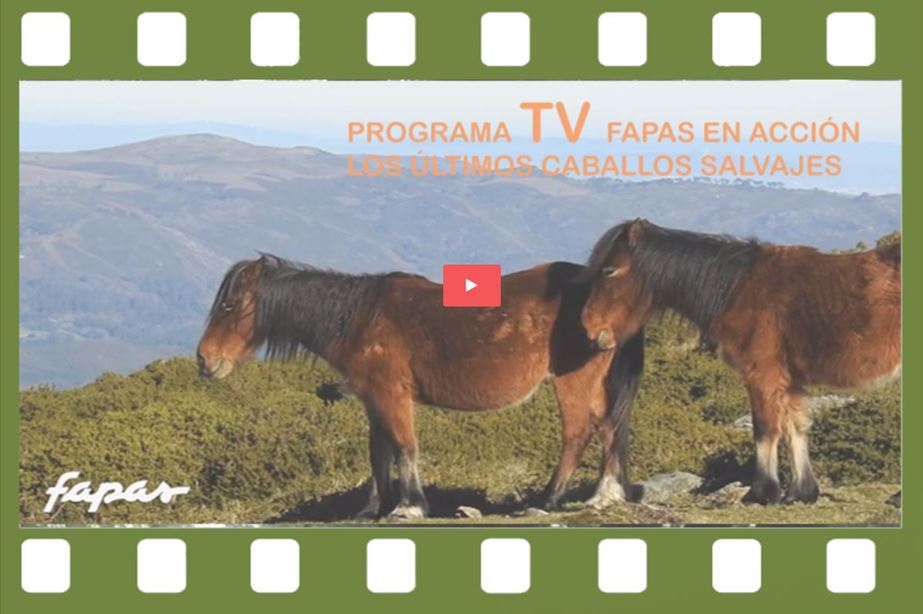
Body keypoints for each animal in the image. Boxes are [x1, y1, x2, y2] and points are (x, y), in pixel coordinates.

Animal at [196, 254, 644, 519]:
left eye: (229, 305)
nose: (204, 360)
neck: (360, 318)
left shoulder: (391, 394)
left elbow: (404, 447)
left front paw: (408, 507)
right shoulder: (372, 397)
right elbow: (379, 452)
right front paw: (371, 509)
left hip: (573, 380)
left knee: (578, 432)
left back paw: (549, 500)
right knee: (609, 428)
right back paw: (605, 494)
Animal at [580, 219, 900, 505]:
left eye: (609, 270)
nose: (589, 329)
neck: (736, 288)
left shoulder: (762, 376)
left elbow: (765, 429)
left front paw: (762, 493)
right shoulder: (789, 382)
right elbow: (795, 428)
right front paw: (801, 493)